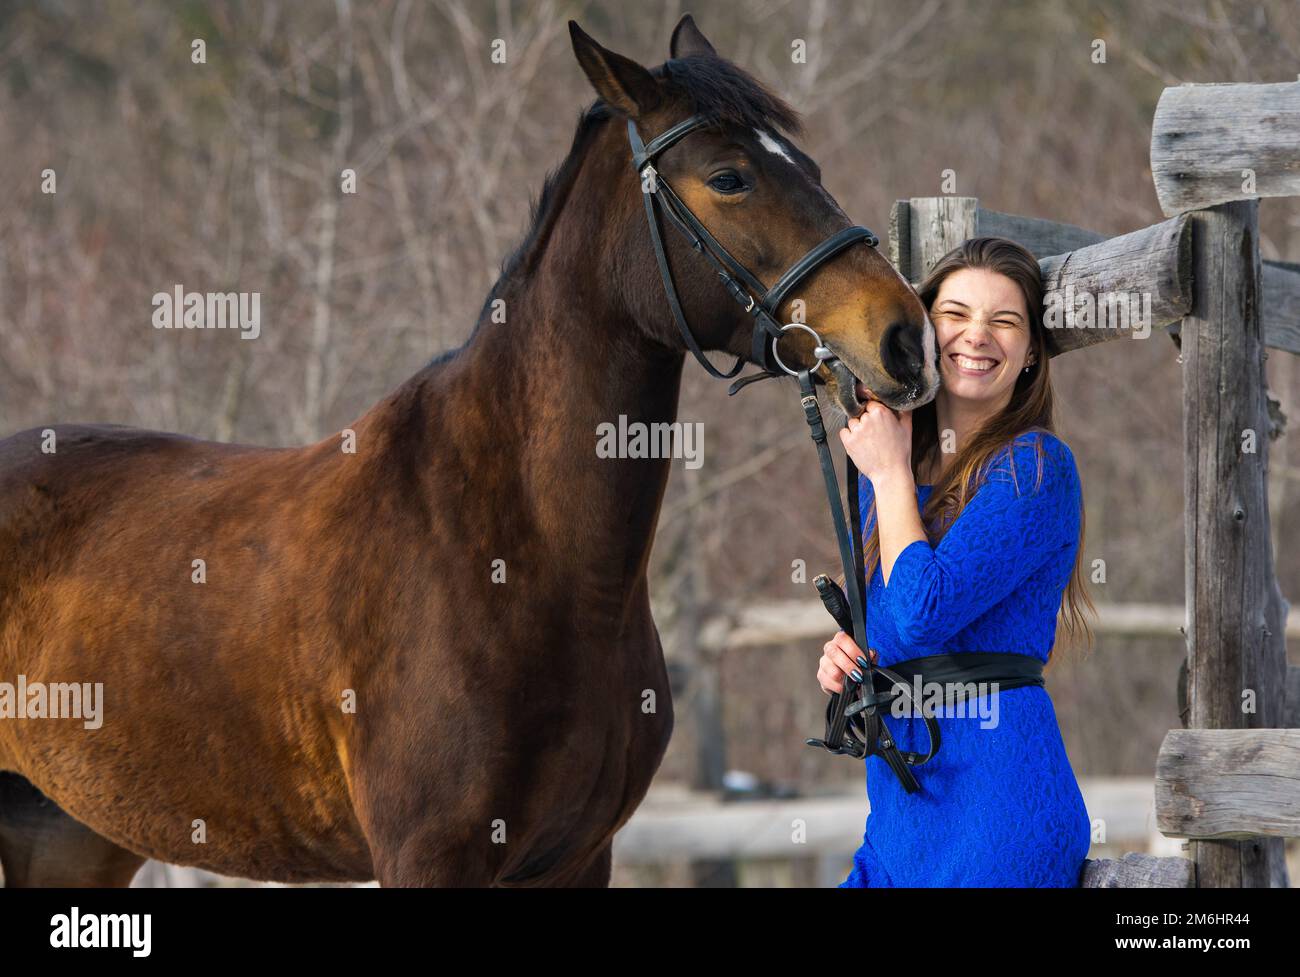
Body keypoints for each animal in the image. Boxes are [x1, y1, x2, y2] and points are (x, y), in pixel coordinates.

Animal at [0, 15, 937, 887]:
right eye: (729, 177)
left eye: (808, 167)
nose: (903, 336)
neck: (520, 549)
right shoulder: (431, 856)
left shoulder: (577, 857)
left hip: (68, 833)